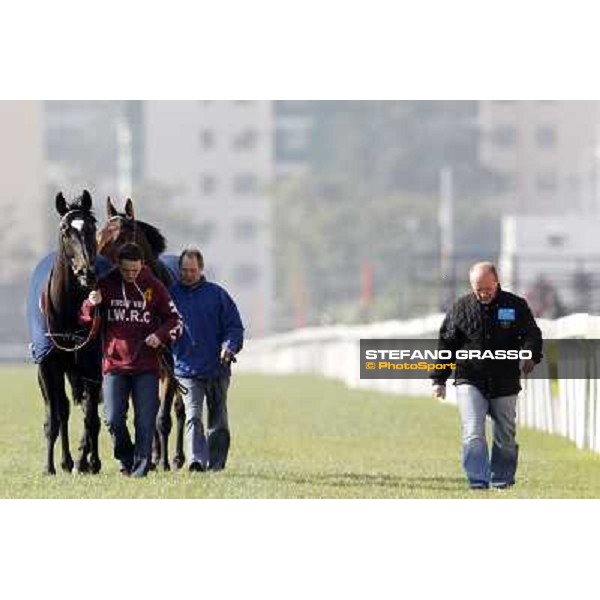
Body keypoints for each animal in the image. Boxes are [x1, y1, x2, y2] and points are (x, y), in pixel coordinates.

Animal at [26, 190, 104, 476]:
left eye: (91, 227)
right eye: (65, 230)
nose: (87, 272)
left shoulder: (92, 364)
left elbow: (91, 416)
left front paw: (87, 462)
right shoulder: (48, 364)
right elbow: (56, 415)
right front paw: (49, 466)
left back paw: (84, 461)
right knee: (63, 408)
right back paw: (66, 460)